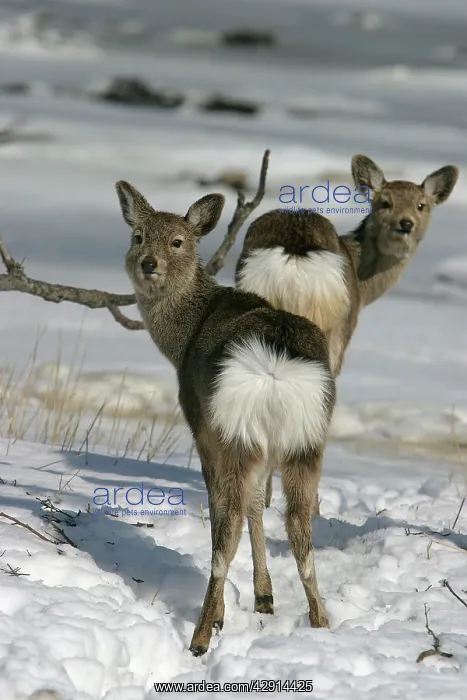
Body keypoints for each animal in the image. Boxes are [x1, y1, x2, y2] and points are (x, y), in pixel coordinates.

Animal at [114, 181, 337, 657]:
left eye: (178, 241)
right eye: (138, 236)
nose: (148, 263)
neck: (184, 337)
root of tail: (274, 365)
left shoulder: (201, 423)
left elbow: (232, 512)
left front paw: (229, 613)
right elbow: (259, 506)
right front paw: (265, 597)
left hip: (235, 428)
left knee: (226, 527)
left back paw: (200, 635)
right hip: (307, 437)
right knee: (300, 529)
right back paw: (322, 622)